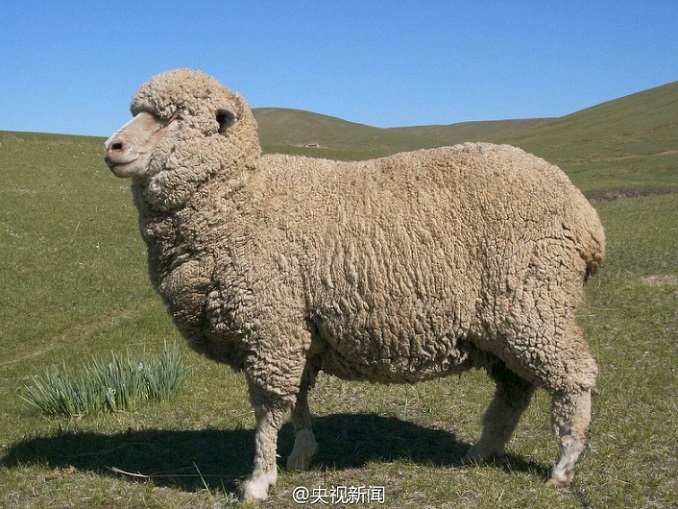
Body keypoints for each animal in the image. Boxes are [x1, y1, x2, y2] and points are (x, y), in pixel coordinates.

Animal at [104, 68, 605, 502]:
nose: (112, 147)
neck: (240, 198)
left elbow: (268, 410)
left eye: (173, 118)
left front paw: (259, 480)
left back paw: (563, 465)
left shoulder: (271, 326)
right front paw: (301, 453)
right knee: (514, 391)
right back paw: (482, 450)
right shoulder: (298, 330)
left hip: (533, 304)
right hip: (503, 323)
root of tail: (585, 215)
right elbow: (298, 400)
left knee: (574, 379)